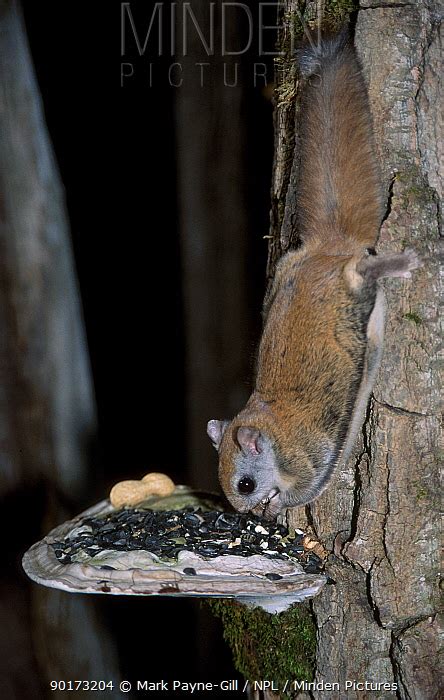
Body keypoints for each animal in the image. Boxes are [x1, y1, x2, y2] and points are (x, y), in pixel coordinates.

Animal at [206, 31, 418, 520]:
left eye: (244, 484)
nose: (245, 513)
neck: (267, 422)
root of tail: (327, 247)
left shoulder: (303, 458)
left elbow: (305, 487)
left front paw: (278, 508)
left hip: (353, 290)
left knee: (363, 270)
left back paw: (400, 264)